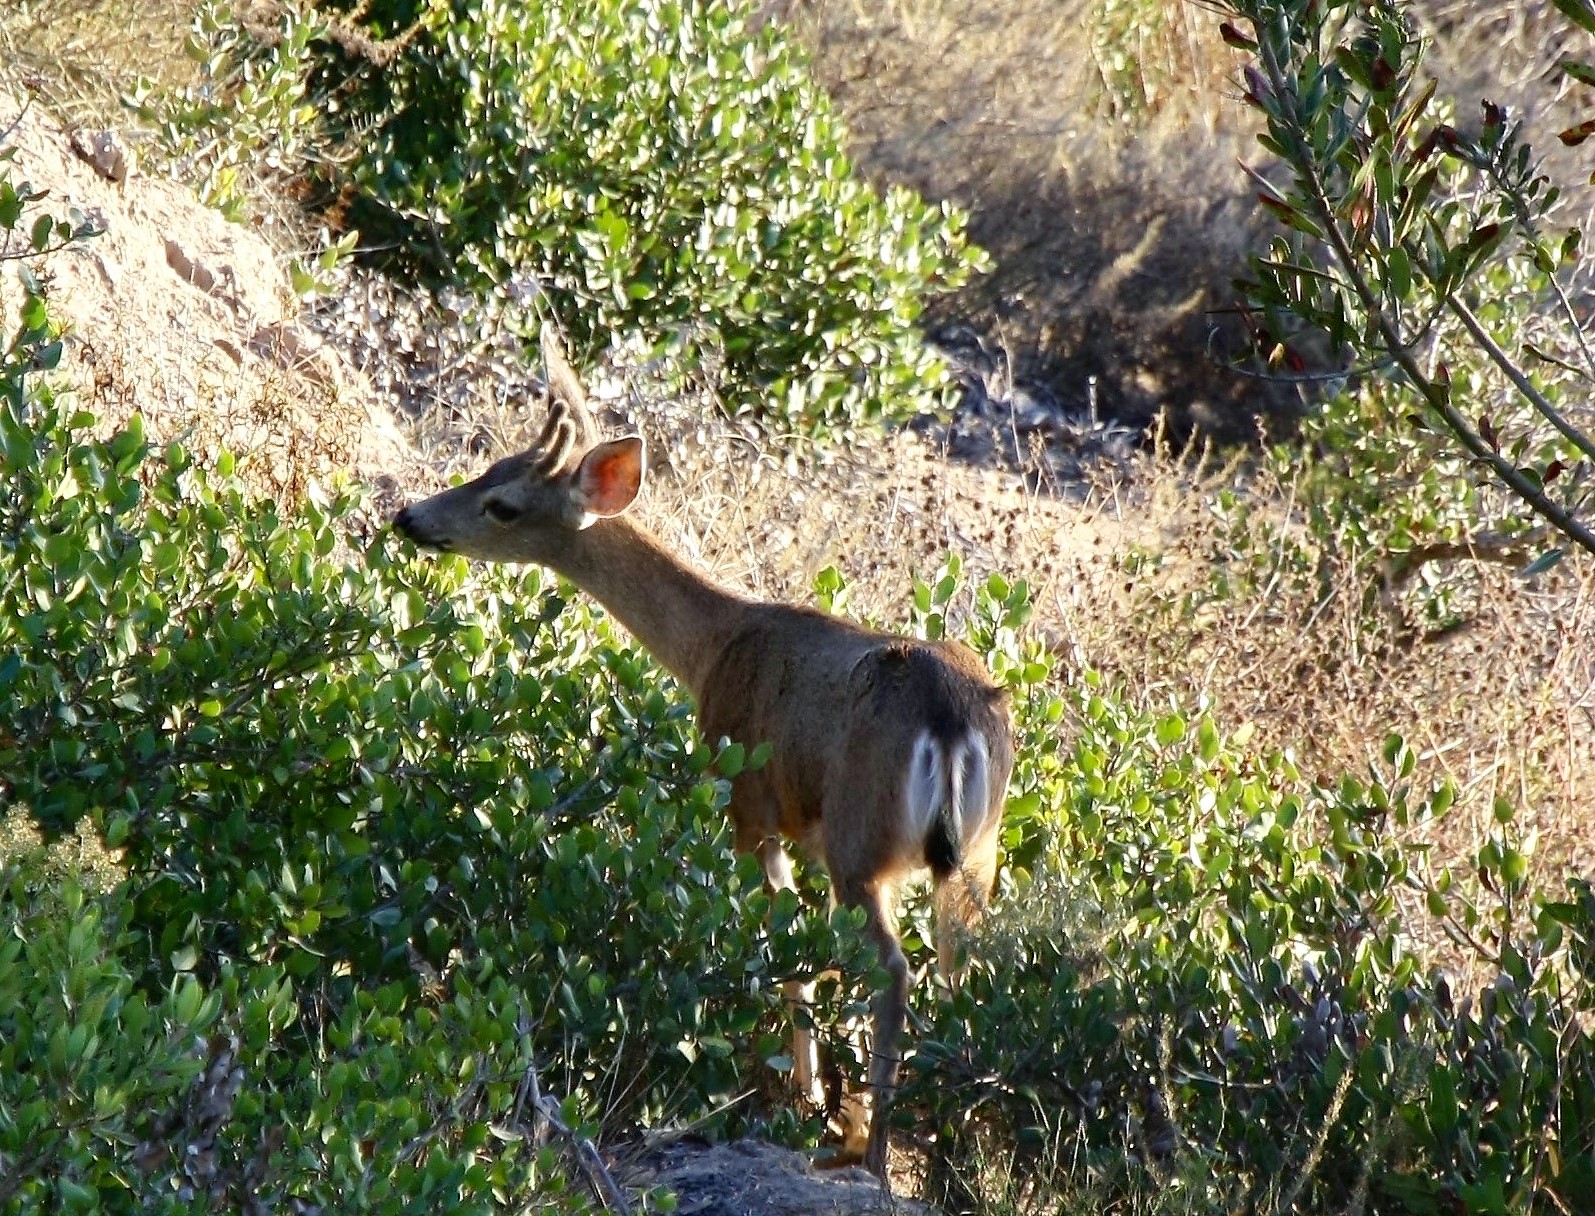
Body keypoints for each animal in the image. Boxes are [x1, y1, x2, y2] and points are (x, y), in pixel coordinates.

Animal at [391, 332, 1014, 1177]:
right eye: (486, 468)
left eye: (503, 505)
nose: (409, 516)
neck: (711, 648)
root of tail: (949, 724)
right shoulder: (802, 830)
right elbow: (809, 954)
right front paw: (820, 1098)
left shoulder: (746, 799)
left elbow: (783, 944)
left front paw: (805, 1098)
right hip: (977, 850)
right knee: (966, 968)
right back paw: (945, 1136)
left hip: (863, 835)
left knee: (893, 967)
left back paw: (872, 1151)